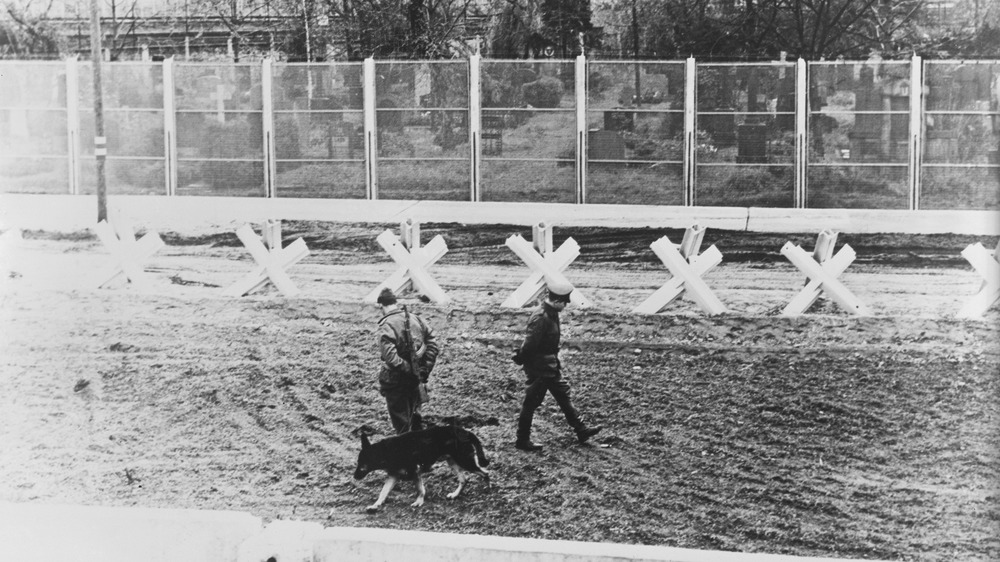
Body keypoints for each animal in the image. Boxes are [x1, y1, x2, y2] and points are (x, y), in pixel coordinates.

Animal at [354, 424, 490, 512]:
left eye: (362, 465)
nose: (354, 477)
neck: (386, 452)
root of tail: (464, 431)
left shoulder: (415, 472)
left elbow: (420, 489)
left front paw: (419, 501)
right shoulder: (393, 475)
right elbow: (383, 492)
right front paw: (376, 505)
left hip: (465, 461)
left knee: (485, 473)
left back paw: (488, 488)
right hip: (453, 462)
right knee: (464, 480)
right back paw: (455, 495)